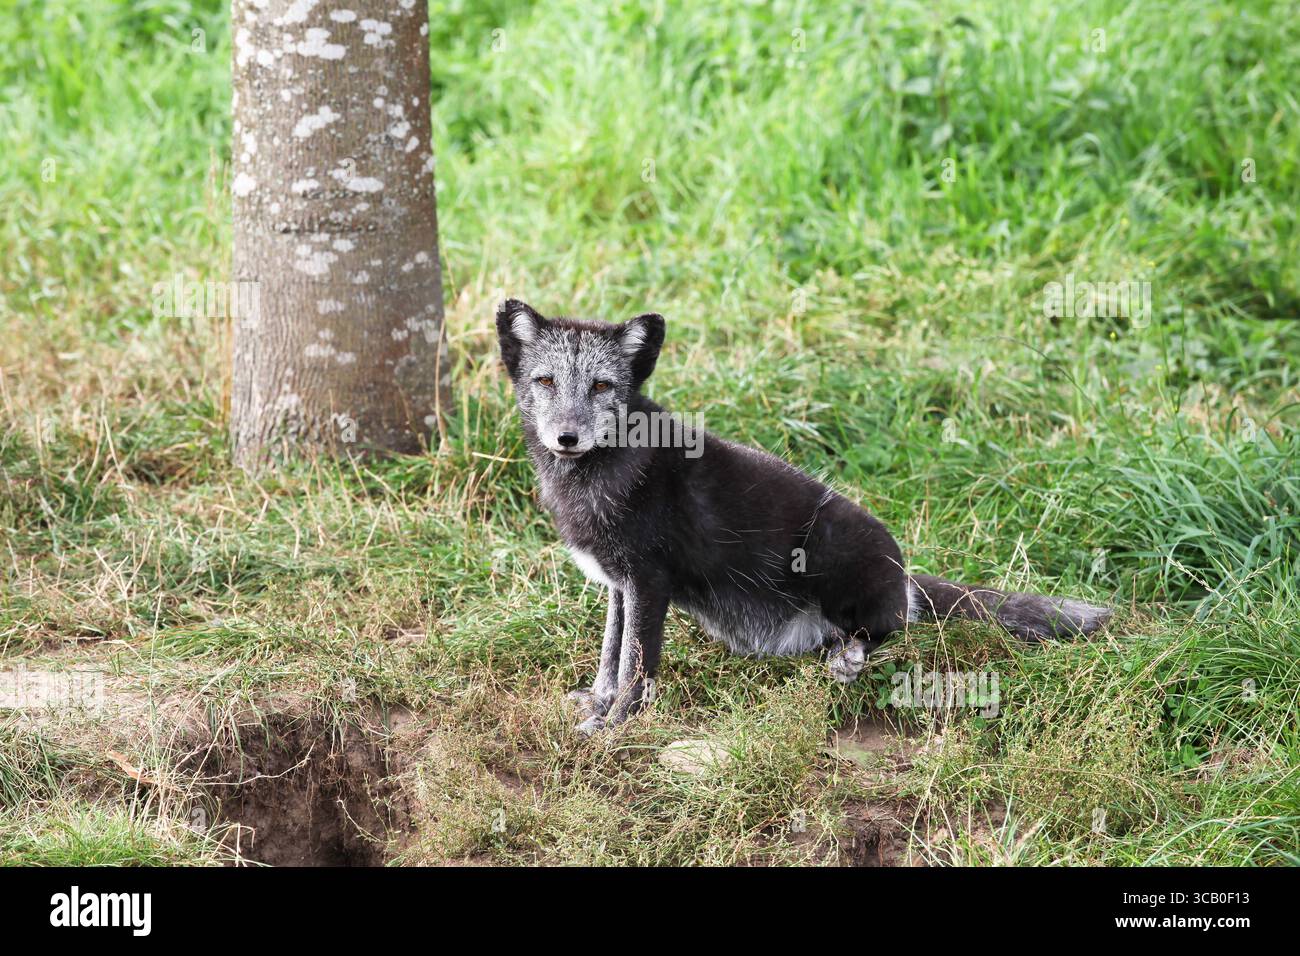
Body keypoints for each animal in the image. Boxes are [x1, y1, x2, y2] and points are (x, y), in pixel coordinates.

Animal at [496, 299, 1112, 733]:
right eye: (545, 381)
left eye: (601, 385)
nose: (567, 437)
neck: (597, 476)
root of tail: (903, 575)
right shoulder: (619, 584)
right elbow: (611, 652)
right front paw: (598, 702)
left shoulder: (649, 581)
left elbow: (636, 666)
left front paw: (617, 726)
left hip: (834, 548)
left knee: (891, 628)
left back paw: (850, 658)